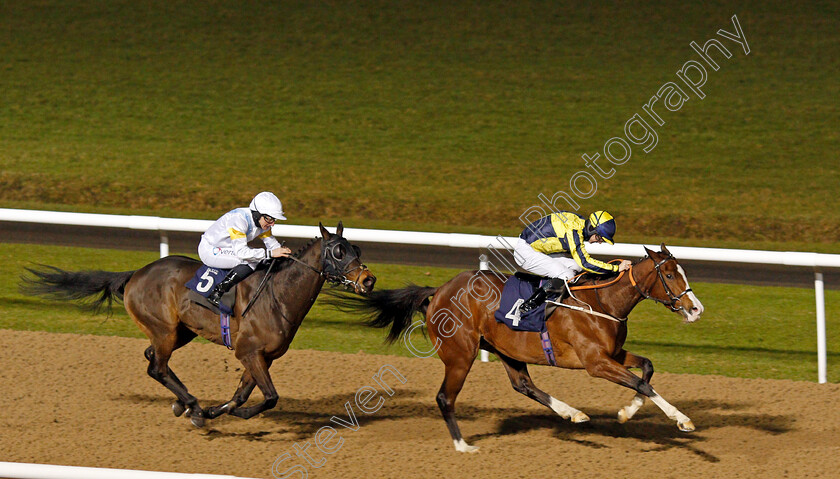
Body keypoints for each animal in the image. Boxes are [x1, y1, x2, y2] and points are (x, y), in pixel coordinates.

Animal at [21, 221, 376, 428]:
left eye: (356, 248)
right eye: (338, 251)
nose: (369, 280)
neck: (278, 295)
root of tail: (136, 273)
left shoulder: (262, 356)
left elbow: (243, 394)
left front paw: (217, 410)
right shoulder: (249, 352)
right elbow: (269, 397)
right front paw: (225, 413)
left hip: (181, 332)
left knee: (152, 359)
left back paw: (186, 405)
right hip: (165, 329)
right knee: (157, 367)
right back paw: (190, 404)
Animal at [334, 246, 704, 452]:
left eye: (681, 272)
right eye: (670, 274)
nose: (696, 309)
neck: (602, 301)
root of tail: (438, 291)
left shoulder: (611, 355)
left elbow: (648, 368)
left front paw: (627, 412)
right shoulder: (596, 363)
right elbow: (643, 382)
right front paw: (682, 420)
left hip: (505, 350)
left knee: (523, 384)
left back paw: (573, 413)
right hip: (461, 354)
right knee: (445, 397)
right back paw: (463, 446)